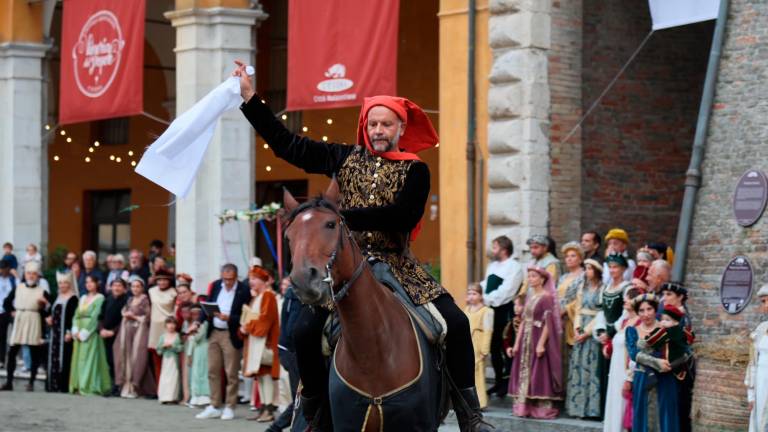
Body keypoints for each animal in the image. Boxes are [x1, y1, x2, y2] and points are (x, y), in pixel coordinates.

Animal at [282, 181, 440, 430]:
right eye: (289, 236)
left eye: (330, 224)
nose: (304, 280)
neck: (373, 350)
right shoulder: (348, 422)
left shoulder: (418, 423)